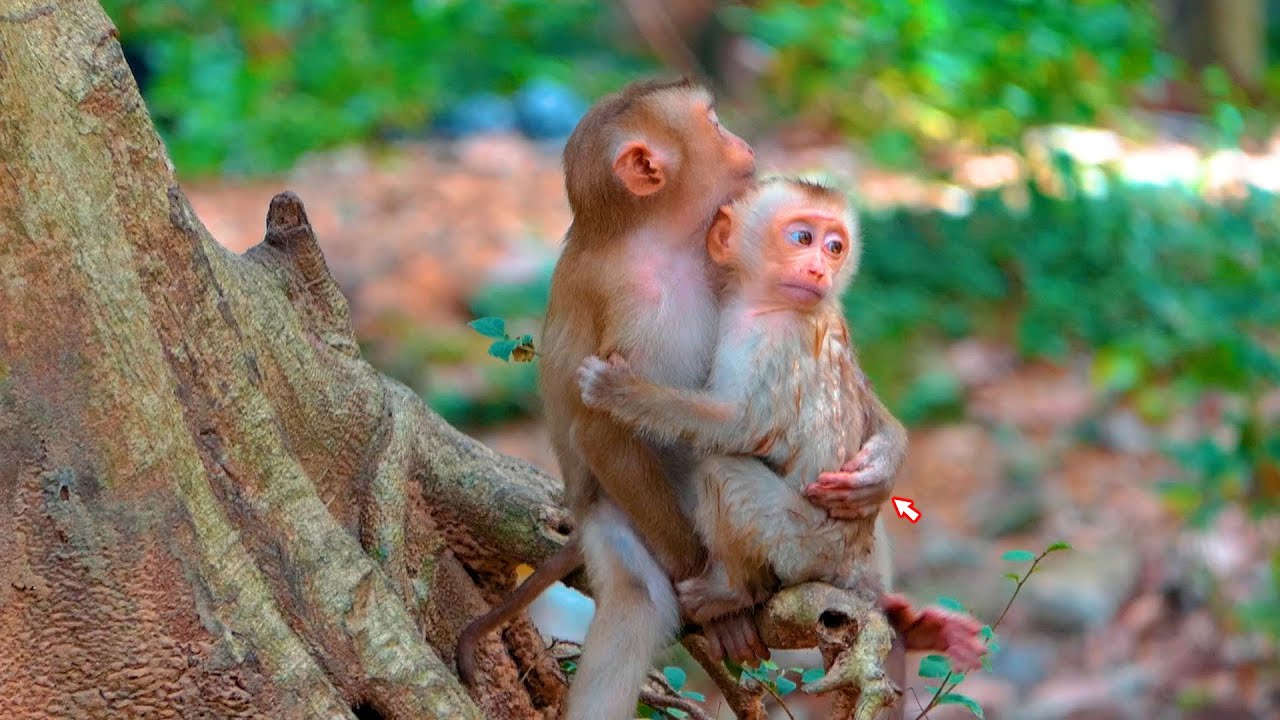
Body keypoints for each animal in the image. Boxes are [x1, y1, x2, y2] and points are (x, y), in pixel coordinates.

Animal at [576, 177, 987, 673]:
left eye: (834, 247)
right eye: (803, 238)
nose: (818, 270)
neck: (766, 303)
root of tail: (845, 558)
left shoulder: (772, 340)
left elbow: (741, 426)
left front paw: (622, 392)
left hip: (805, 542)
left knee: (723, 471)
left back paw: (735, 591)